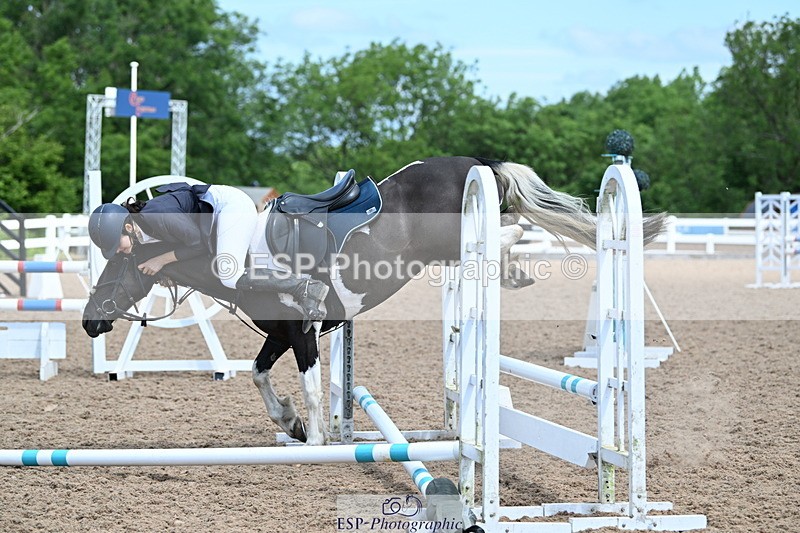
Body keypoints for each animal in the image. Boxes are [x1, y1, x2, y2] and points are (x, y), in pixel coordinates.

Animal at [82, 156, 666, 445]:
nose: (89, 322)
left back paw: (511, 266)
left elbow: (311, 388)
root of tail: (480, 160)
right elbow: (259, 374)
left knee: (511, 229)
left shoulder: (302, 333)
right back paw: (513, 272)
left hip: (450, 238)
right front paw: (289, 422)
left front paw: (314, 437)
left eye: (115, 265)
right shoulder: (281, 333)